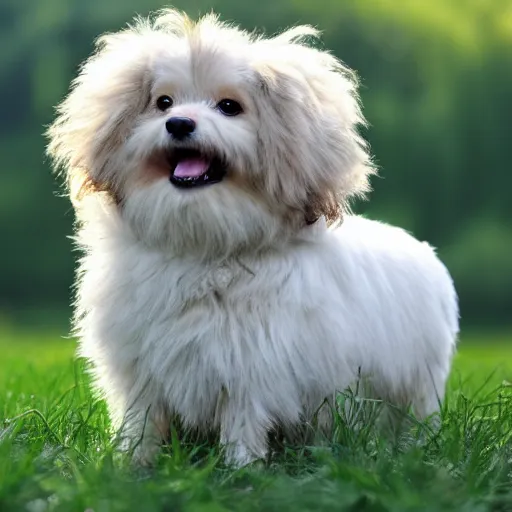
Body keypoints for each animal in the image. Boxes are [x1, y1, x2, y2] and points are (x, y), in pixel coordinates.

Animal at [46, 8, 458, 468]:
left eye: (230, 107)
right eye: (163, 102)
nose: (178, 123)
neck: (203, 246)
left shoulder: (252, 372)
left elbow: (242, 426)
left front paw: (240, 469)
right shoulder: (142, 373)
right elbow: (144, 424)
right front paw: (134, 465)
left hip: (414, 390)